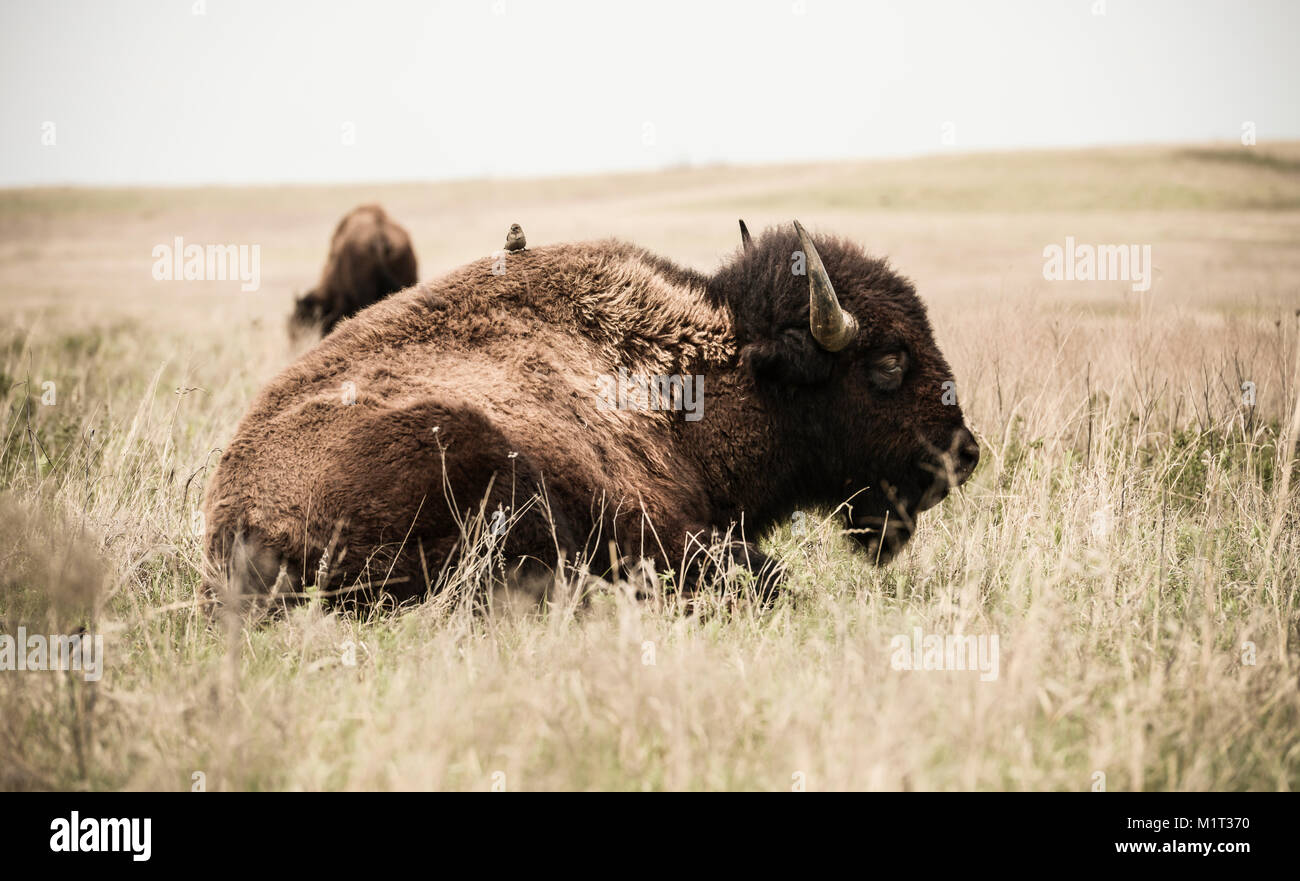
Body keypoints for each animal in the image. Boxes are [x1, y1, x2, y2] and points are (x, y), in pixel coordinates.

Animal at [202, 220, 977, 608]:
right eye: (889, 362)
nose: (963, 453)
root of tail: (230, 525)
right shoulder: (662, 529)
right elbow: (763, 574)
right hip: (468, 449)